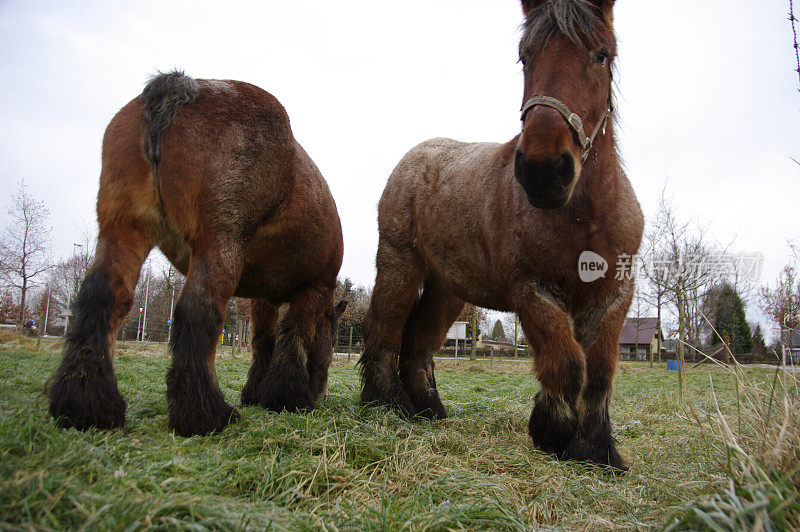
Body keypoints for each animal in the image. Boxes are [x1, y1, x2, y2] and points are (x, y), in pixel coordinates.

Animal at [46, 70, 346, 436]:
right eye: (333, 339)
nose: (321, 393)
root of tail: (183, 87)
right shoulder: (315, 288)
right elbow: (293, 334)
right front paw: (287, 397)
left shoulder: (263, 299)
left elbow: (263, 340)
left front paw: (258, 393)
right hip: (217, 243)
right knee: (197, 309)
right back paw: (205, 414)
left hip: (122, 231)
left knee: (100, 297)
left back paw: (87, 406)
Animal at [362, 1, 644, 474]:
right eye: (524, 57)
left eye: (602, 55)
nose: (543, 169)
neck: (585, 216)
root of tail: (415, 157)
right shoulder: (531, 291)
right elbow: (568, 363)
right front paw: (553, 433)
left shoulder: (614, 295)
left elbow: (600, 371)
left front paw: (598, 450)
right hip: (399, 263)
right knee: (385, 327)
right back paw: (384, 404)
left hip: (447, 288)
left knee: (419, 338)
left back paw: (427, 409)